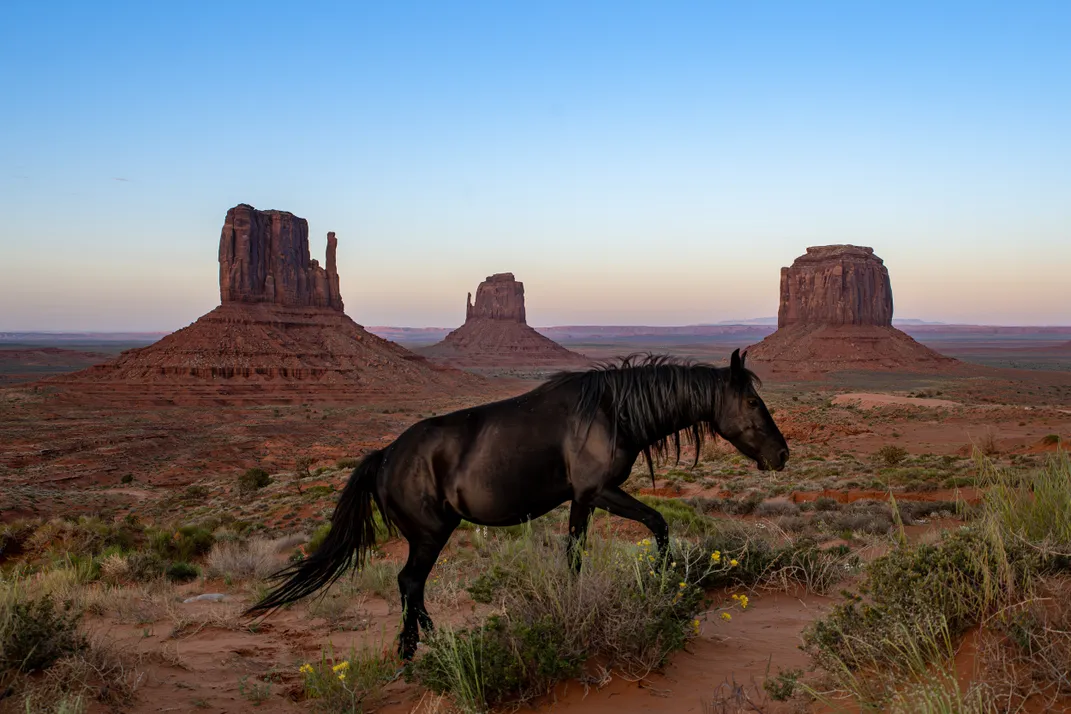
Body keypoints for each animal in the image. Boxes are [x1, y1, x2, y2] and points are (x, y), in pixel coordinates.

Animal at [246, 351, 792, 659]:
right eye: (751, 403)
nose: (782, 454)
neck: (612, 412)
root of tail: (384, 456)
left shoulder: (582, 501)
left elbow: (575, 554)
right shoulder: (600, 493)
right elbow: (657, 523)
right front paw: (661, 581)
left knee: (412, 586)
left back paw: (429, 641)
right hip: (429, 534)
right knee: (409, 582)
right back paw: (422, 647)